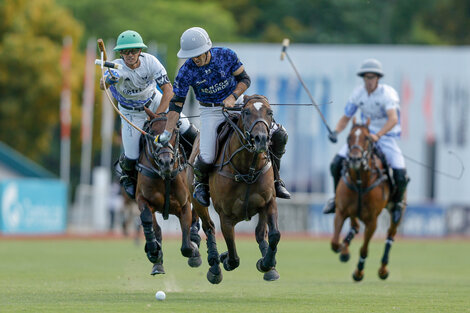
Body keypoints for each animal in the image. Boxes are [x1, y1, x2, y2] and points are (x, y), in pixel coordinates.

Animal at [136, 108, 202, 274]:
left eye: (175, 132)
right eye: (152, 132)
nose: (166, 162)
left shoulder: (184, 205)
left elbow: (186, 246)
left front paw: (194, 250)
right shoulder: (143, 199)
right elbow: (151, 222)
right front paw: (154, 252)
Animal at [187, 93, 280, 282]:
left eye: (270, 112)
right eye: (246, 112)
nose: (261, 139)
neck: (247, 170)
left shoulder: (269, 202)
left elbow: (274, 235)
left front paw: (267, 264)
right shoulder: (226, 216)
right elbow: (233, 256)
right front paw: (224, 260)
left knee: (260, 233)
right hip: (198, 201)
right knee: (209, 227)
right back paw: (215, 265)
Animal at [330, 116, 404, 280]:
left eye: (367, 138)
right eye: (349, 137)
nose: (354, 159)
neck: (360, 182)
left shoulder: (372, 221)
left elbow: (364, 249)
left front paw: (359, 272)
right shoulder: (341, 211)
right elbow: (335, 243)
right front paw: (343, 249)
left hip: (397, 209)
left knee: (390, 235)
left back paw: (383, 269)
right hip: (353, 212)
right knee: (355, 226)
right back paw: (346, 248)